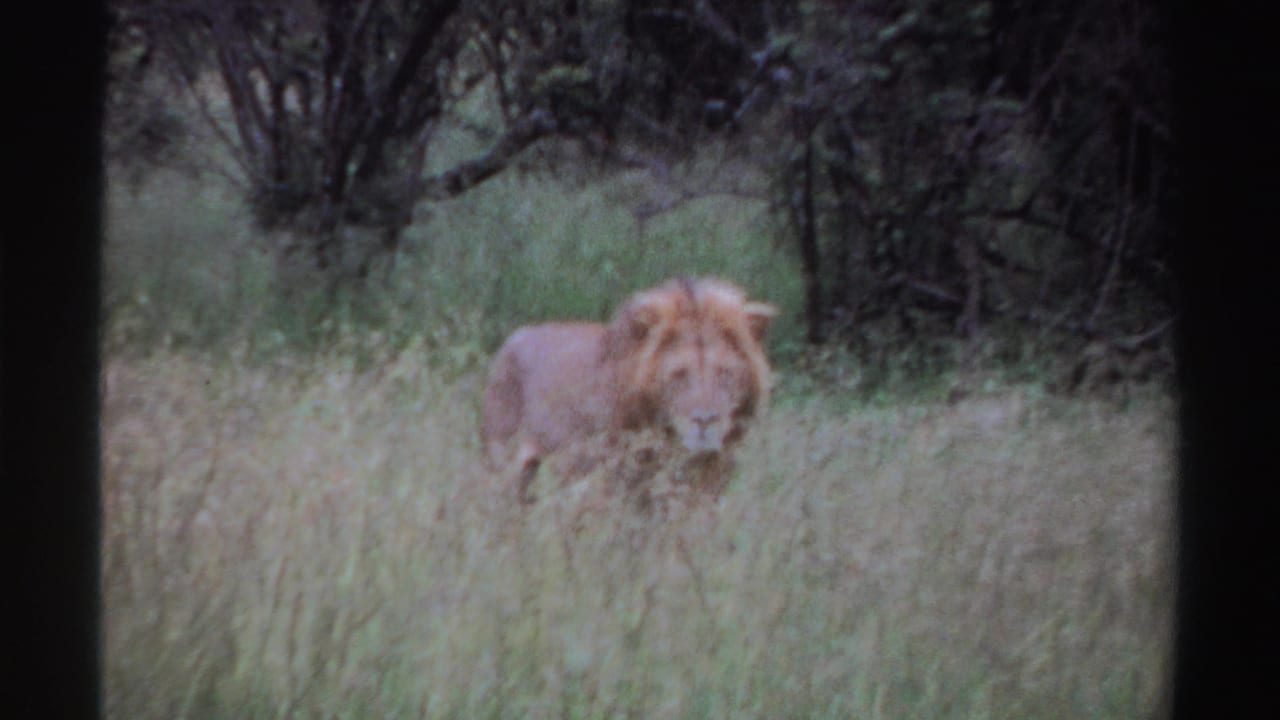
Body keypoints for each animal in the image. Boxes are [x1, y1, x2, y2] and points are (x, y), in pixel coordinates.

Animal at [480, 277, 776, 504]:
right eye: (679, 375)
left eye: (725, 374)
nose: (706, 420)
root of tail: (511, 340)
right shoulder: (608, 487)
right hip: (506, 471)